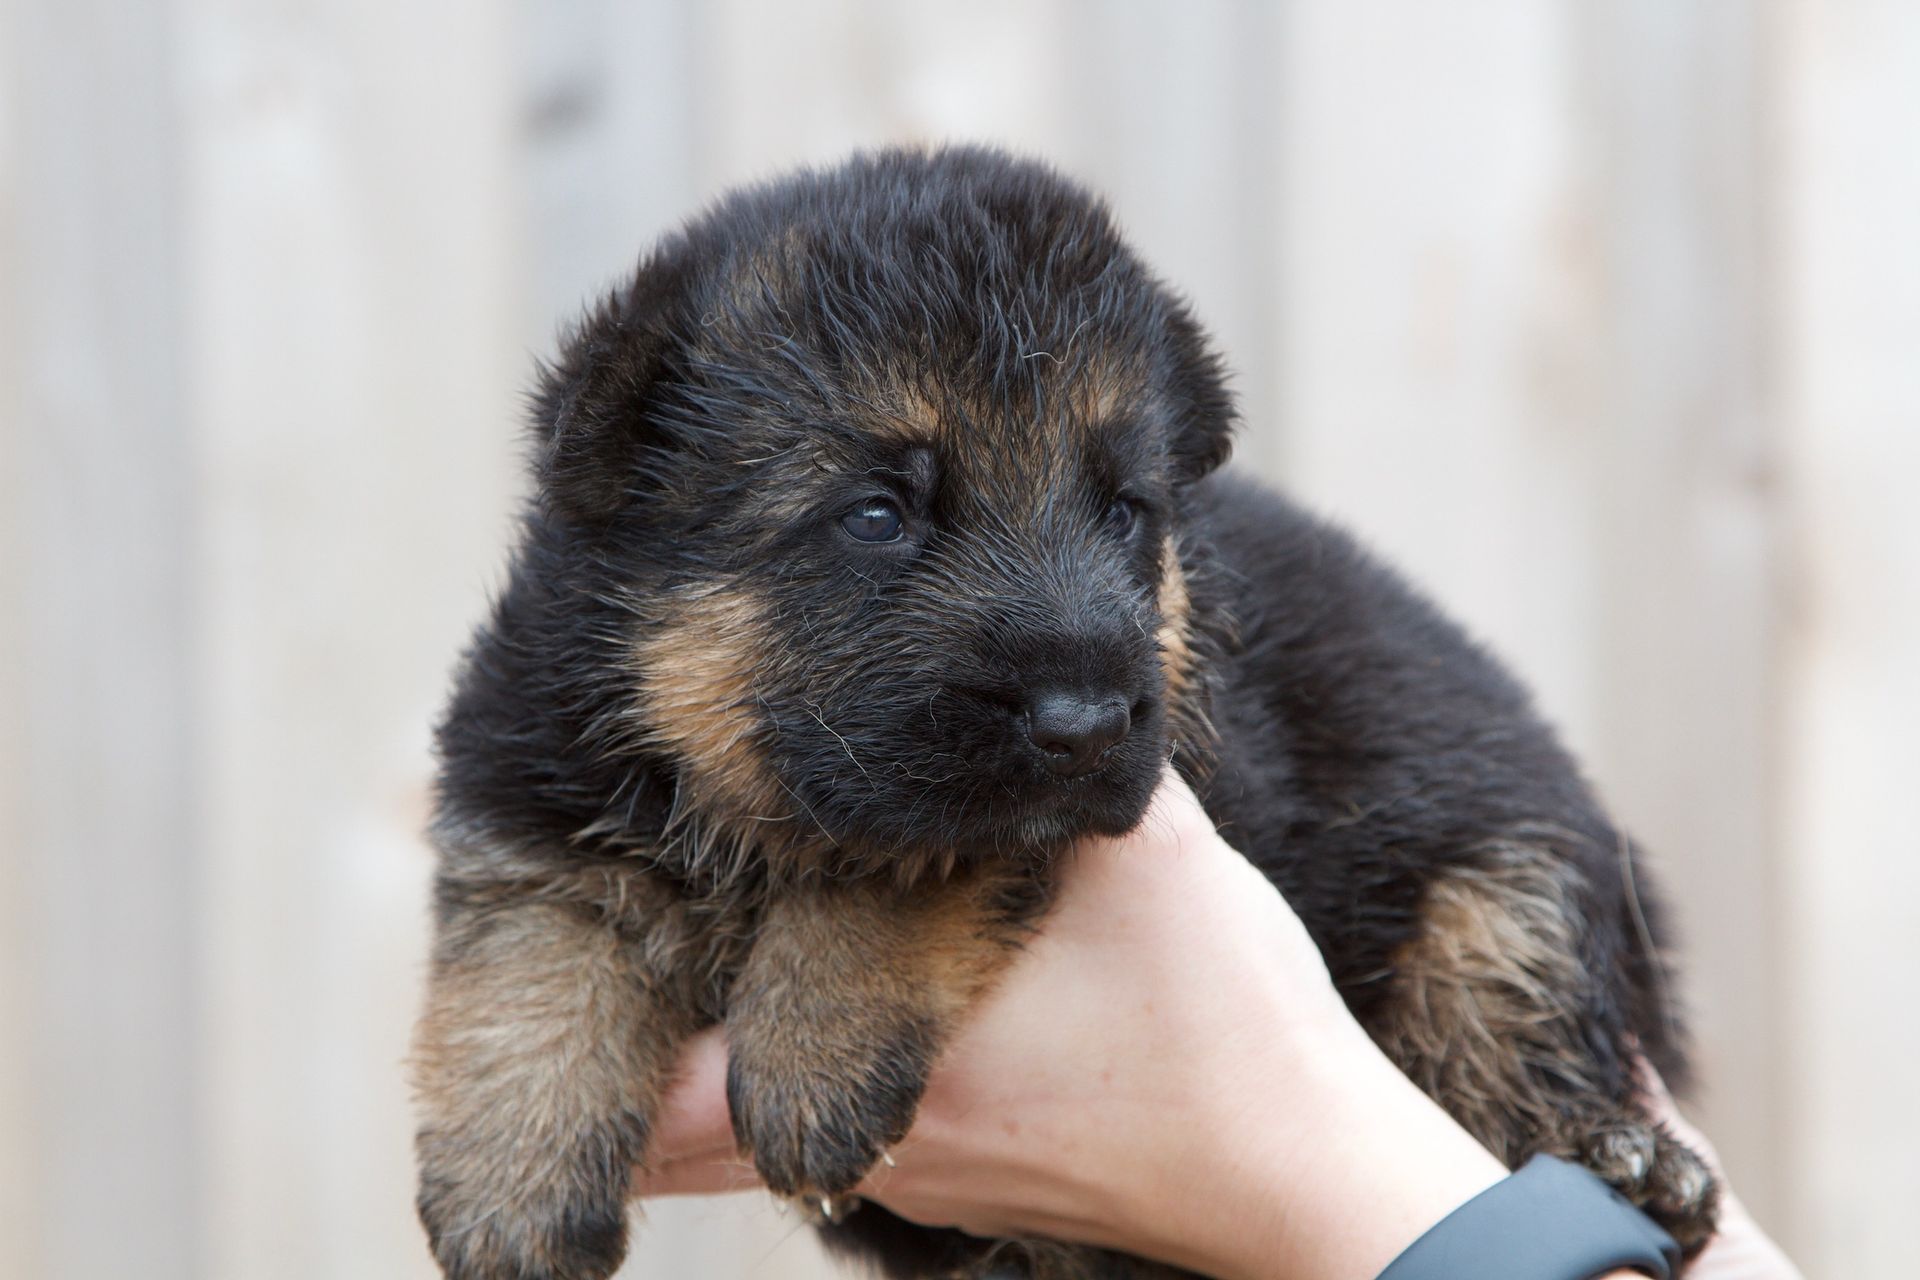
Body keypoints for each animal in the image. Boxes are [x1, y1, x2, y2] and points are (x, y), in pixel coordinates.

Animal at [412, 145, 1719, 1279]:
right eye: (877, 513)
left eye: (1126, 508)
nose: (1084, 719)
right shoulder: (524, 768)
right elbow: (523, 948)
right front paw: (507, 1179)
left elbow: (906, 855)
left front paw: (815, 1035)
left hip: (1505, 890)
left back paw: (1643, 1168)